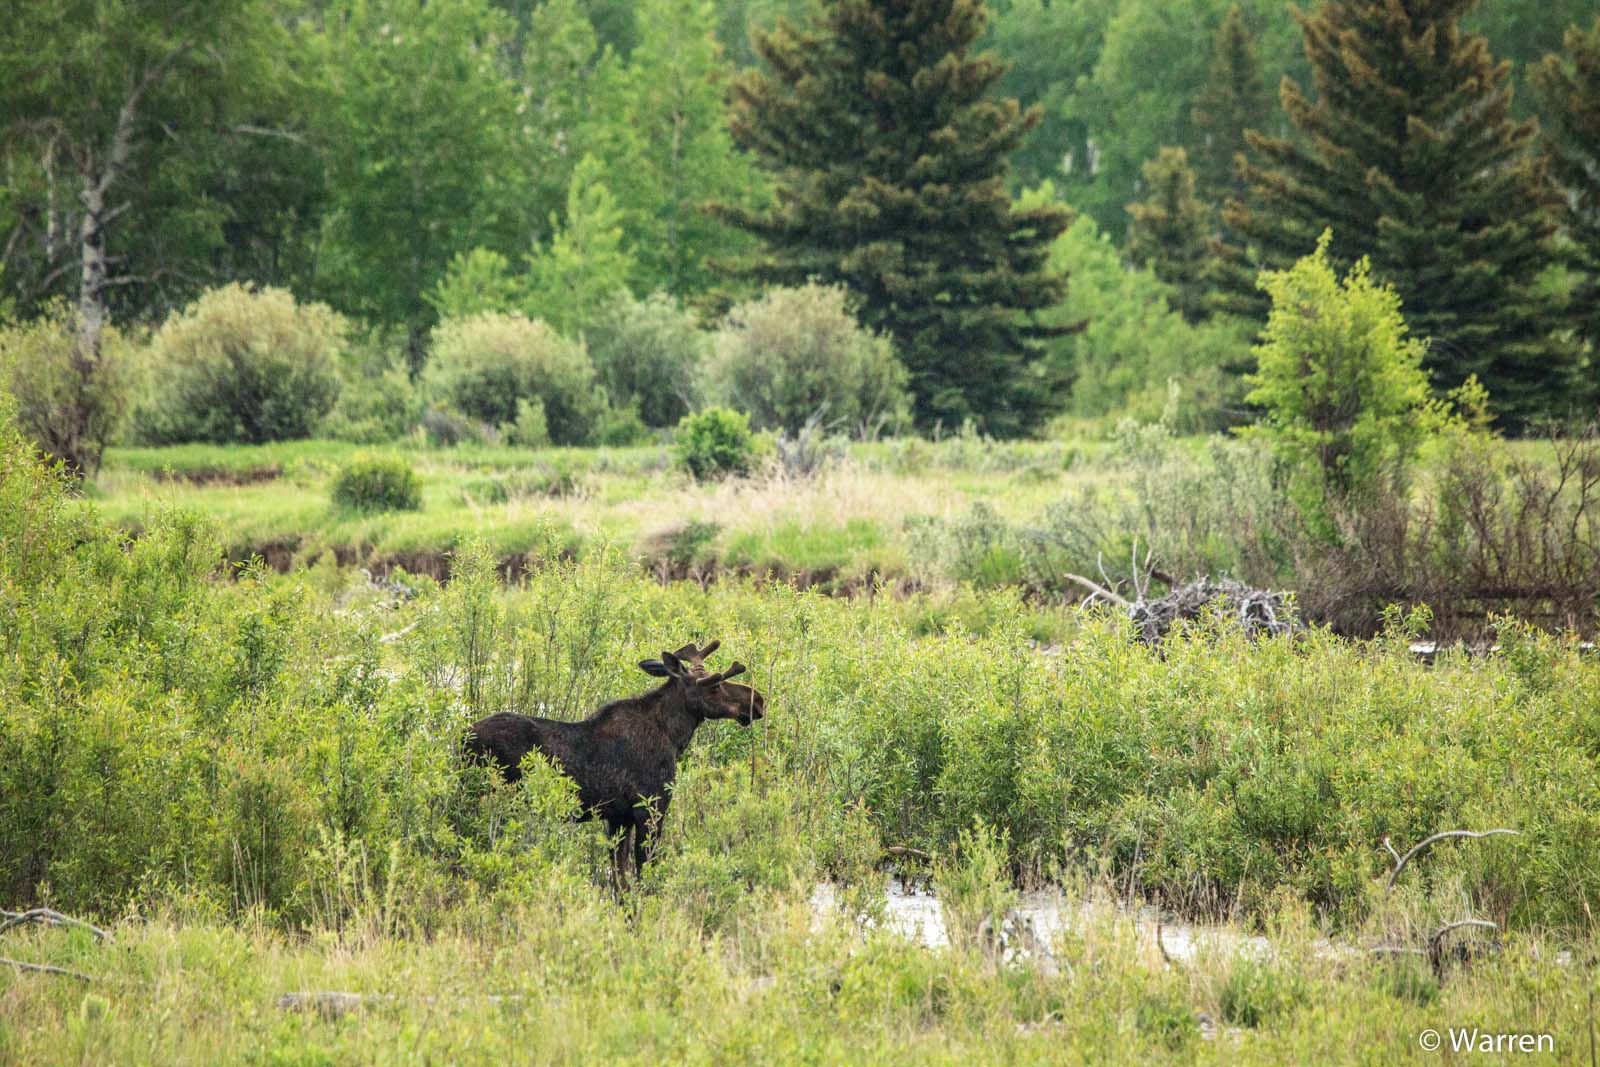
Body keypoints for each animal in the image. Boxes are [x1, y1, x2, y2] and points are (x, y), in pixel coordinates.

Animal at [463, 640, 765, 887]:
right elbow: (643, 873)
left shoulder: (619, 818)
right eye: (715, 686)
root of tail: (461, 739)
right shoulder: (650, 809)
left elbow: (620, 879)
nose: (757, 701)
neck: (674, 736)